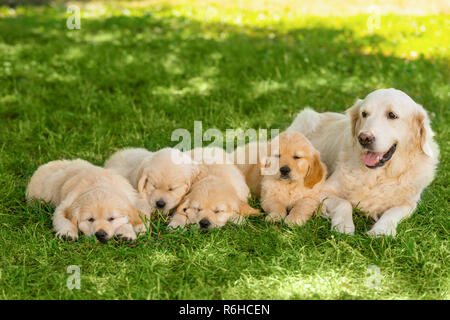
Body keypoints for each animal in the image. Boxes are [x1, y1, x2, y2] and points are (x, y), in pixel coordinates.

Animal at [288, 89, 440, 236]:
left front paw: (381, 230)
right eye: (364, 114)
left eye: (392, 115)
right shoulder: (323, 190)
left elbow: (391, 212)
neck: (378, 175)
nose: (364, 138)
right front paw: (344, 226)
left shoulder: (409, 203)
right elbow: (344, 203)